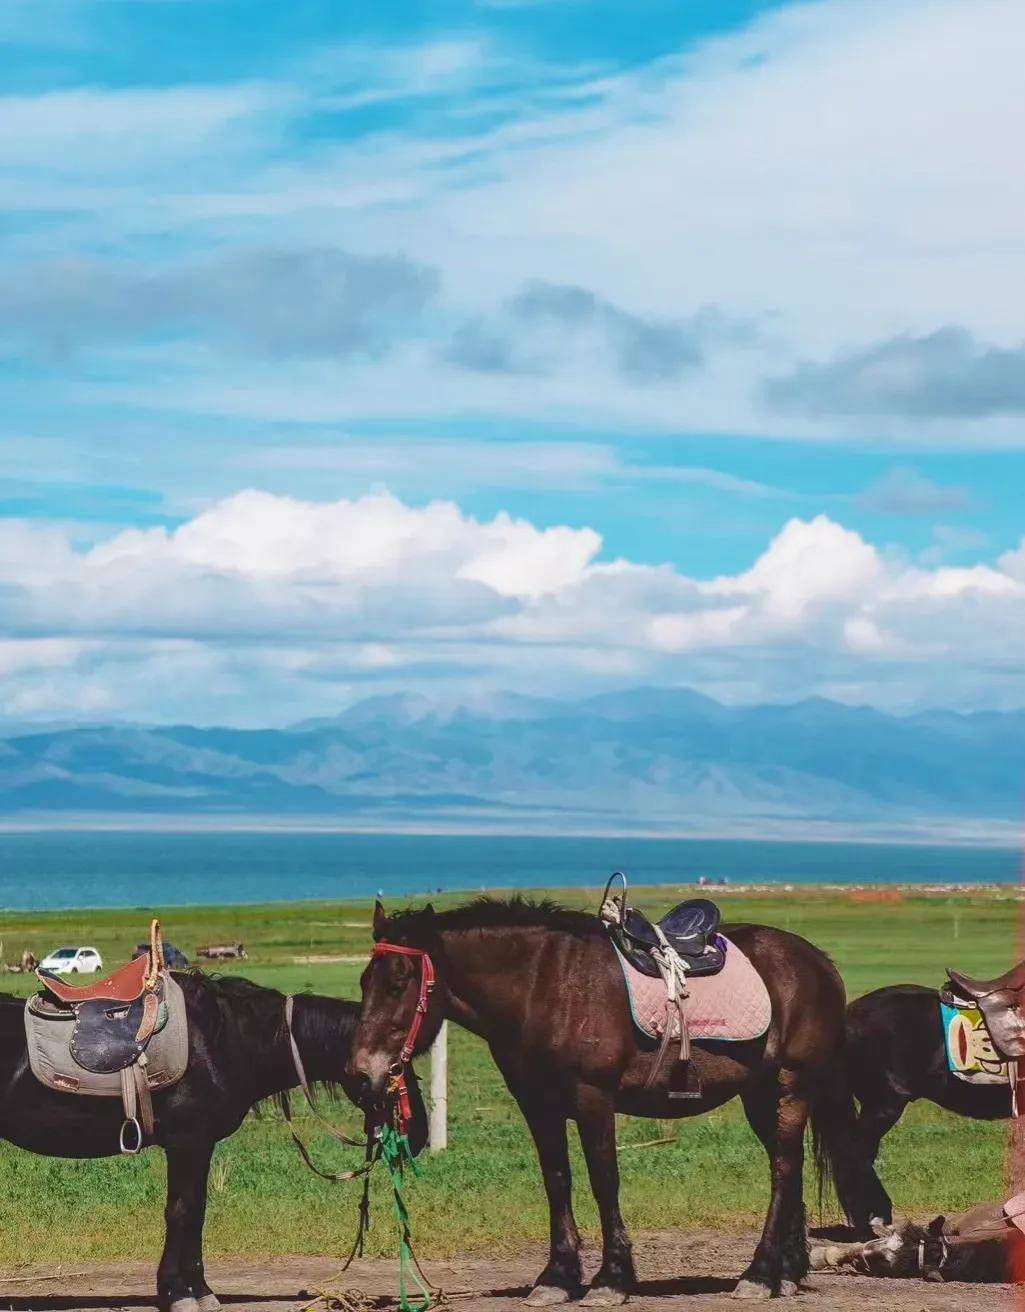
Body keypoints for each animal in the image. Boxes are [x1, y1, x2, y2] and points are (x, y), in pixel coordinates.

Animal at [0, 970, 422, 1312]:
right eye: (400, 1067)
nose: (417, 1135)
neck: (226, 1041)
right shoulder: (189, 1143)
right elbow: (183, 1212)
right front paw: (180, 1294)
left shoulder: (199, 1146)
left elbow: (196, 1213)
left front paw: (197, 1290)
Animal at [349, 897, 845, 1306]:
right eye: (364, 981)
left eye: (399, 982)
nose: (361, 1075)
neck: (544, 987)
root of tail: (817, 960)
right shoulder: (538, 1105)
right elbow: (557, 1179)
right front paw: (557, 1277)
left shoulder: (593, 1099)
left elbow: (604, 1179)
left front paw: (611, 1279)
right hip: (759, 1094)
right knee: (789, 1168)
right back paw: (786, 1273)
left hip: (789, 1086)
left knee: (782, 1168)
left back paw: (759, 1275)